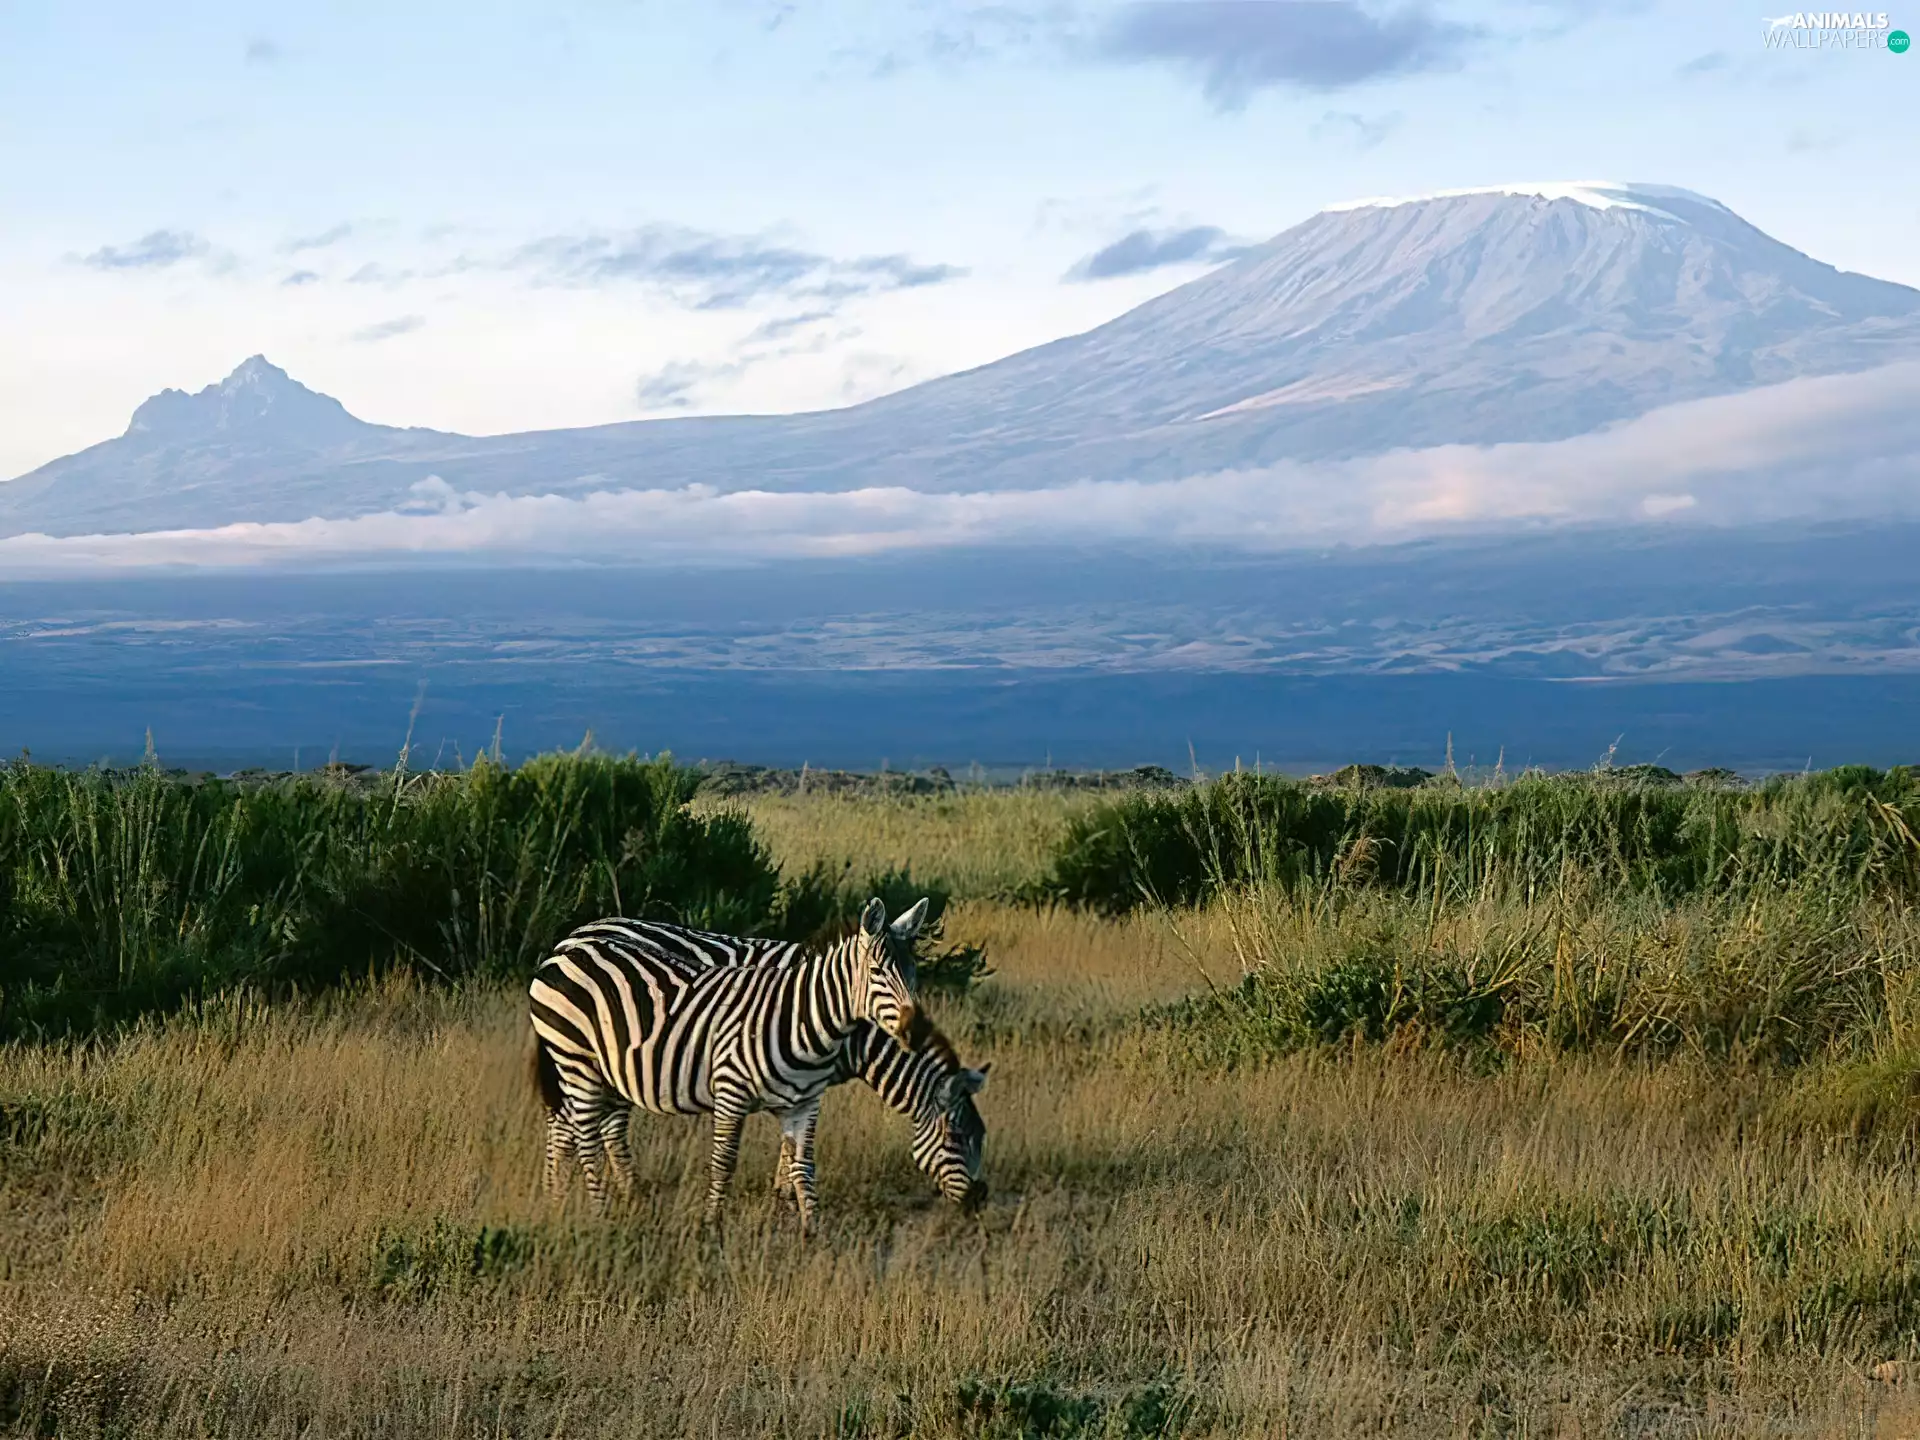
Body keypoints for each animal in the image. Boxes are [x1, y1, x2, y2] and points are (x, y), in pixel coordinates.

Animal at [529, 897, 958, 1230]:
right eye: (957, 1137)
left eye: (915, 975)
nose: (971, 1204)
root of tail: (568, 941)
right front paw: (778, 1197)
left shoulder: (803, 1089)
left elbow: (796, 1150)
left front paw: (789, 1199)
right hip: (581, 1059)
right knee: (576, 1127)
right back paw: (578, 1201)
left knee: (583, 1125)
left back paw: (574, 1196)